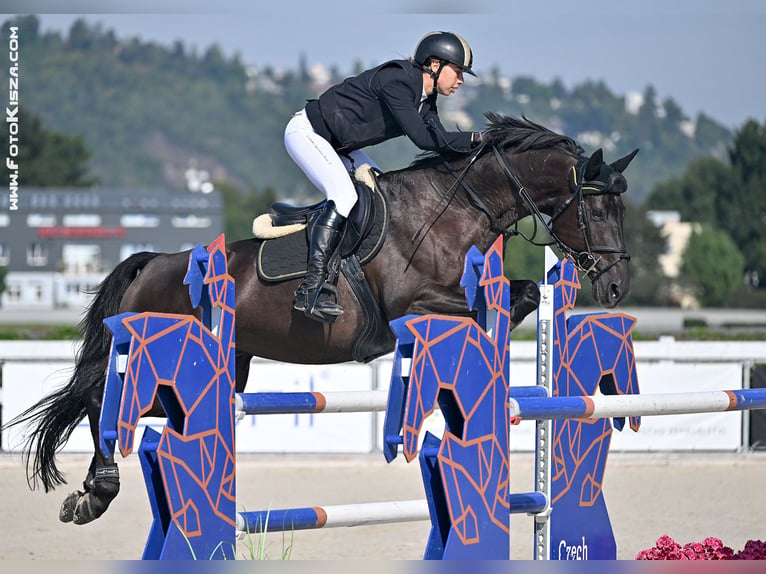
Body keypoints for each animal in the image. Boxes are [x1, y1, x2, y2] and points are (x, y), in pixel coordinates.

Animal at [7, 113, 640, 532]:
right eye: (598, 206)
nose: (615, 286)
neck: (457, 208)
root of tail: (153, 262)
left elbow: (524, 293)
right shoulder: (411, 305)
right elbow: (497, 304)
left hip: (220, 370)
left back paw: (92, 494)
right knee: (102, 402)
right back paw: (94, 495)